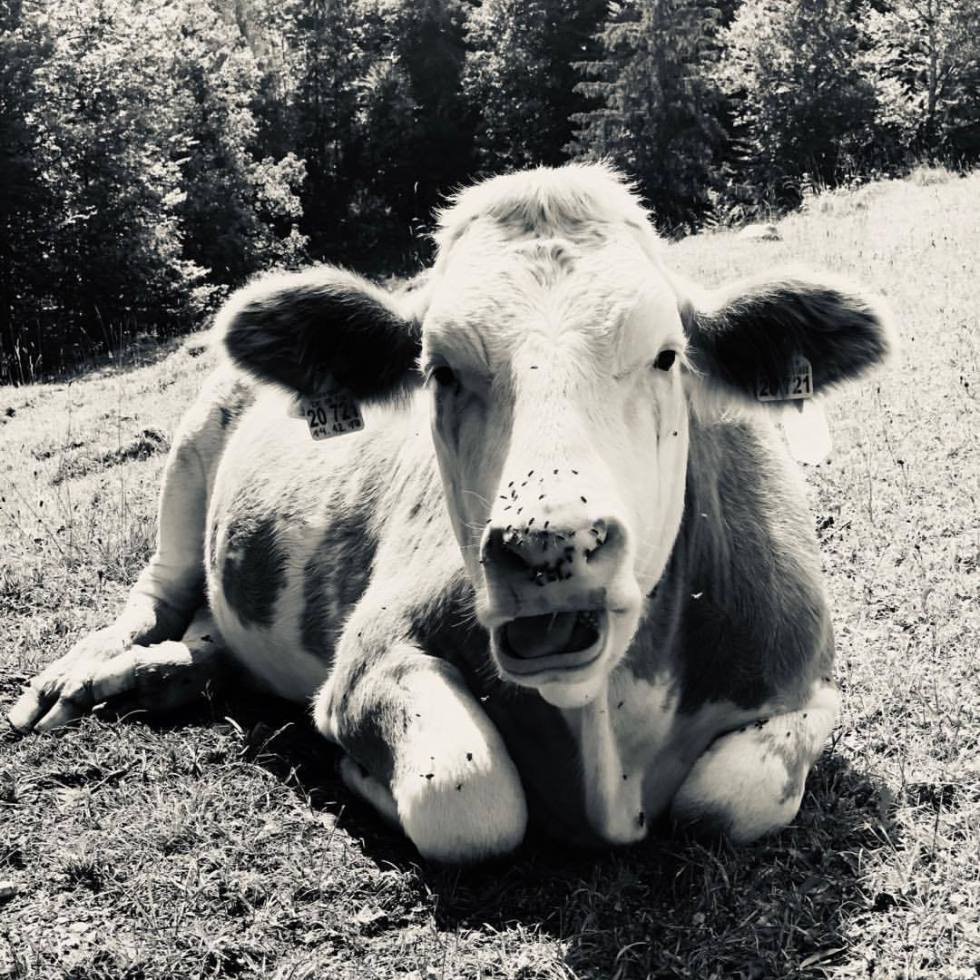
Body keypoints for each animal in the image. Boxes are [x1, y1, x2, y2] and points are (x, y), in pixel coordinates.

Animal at [7, 164, 892, 863]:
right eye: (440, 370)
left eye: (667, 355)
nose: (548, 544)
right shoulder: (364, 665)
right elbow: (468, 796)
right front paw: (362, 776)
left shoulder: (808, 677)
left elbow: (731, 799)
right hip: (192, 447)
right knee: (154, 595)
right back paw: (78, 679)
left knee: (207, 635)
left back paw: (164, 675)